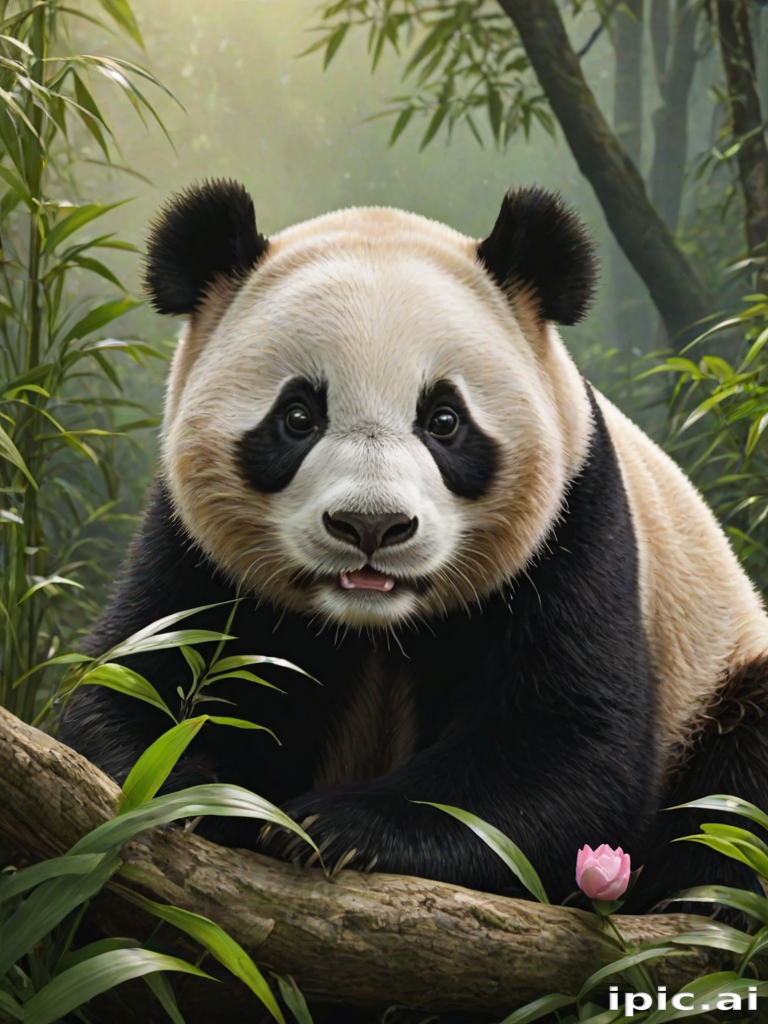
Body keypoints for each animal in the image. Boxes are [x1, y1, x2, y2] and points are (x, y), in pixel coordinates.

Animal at [60, 178, 768, 910]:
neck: (374, 625)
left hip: (718, 671)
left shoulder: (575, 526)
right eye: (298, 416)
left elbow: (570, 749)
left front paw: (338, 826)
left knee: (736, 784)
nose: (371, 526)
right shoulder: (192, 548)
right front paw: (198, 792)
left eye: (445, 420)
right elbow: (131, 684)